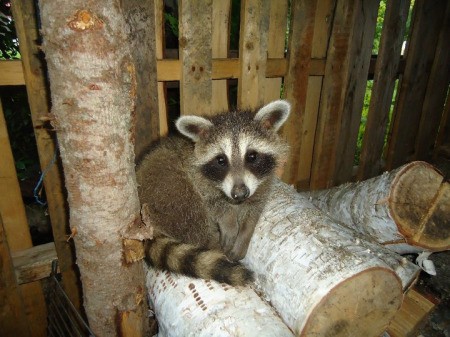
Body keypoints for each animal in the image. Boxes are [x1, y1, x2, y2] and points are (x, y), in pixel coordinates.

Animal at [137, 99, 290, 284]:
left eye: (252, 156)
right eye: (221, 160)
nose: (240, 194)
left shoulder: (262, 182)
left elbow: (255, 207)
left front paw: (245, 234)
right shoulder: (196, 173)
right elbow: (213, 201)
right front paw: (229, 222)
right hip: (165, 186)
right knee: (192, 214)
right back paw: (214, 244)